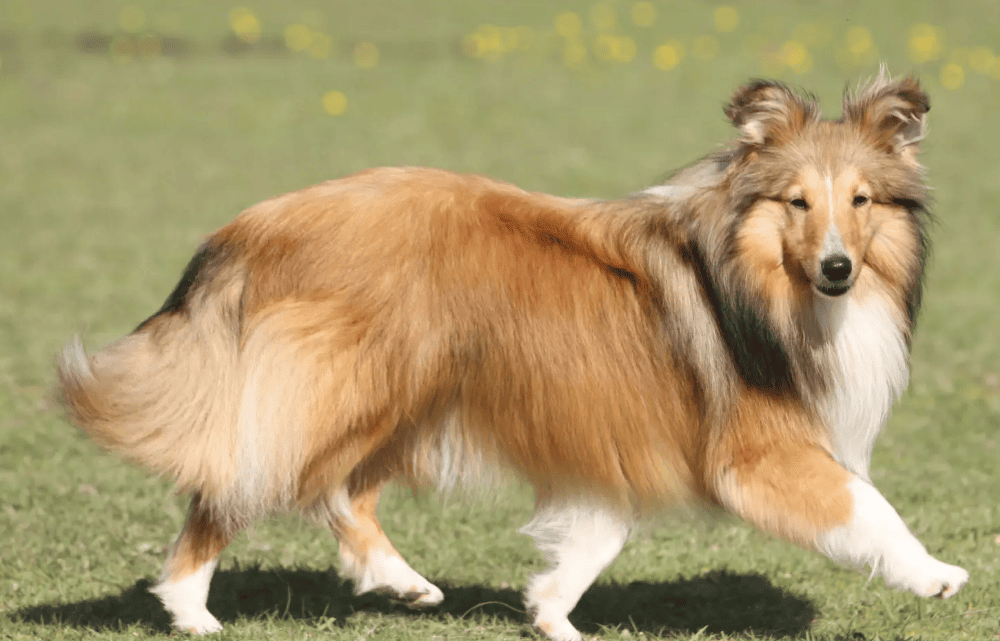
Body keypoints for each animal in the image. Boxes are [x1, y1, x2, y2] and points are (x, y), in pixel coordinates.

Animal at [56, 70, 968, 640]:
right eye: (797, 201)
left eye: (861, 200)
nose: (838, 268)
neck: (755, 279)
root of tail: (256, 224)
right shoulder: (760, 453)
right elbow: (866, 505)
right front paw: (934, 573)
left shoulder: (614, 438)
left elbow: (596, 538)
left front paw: (552, 613)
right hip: (354, 386)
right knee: (245, 482)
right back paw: (191, 607)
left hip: (406, 389)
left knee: (340, 491)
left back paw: (403, 581)